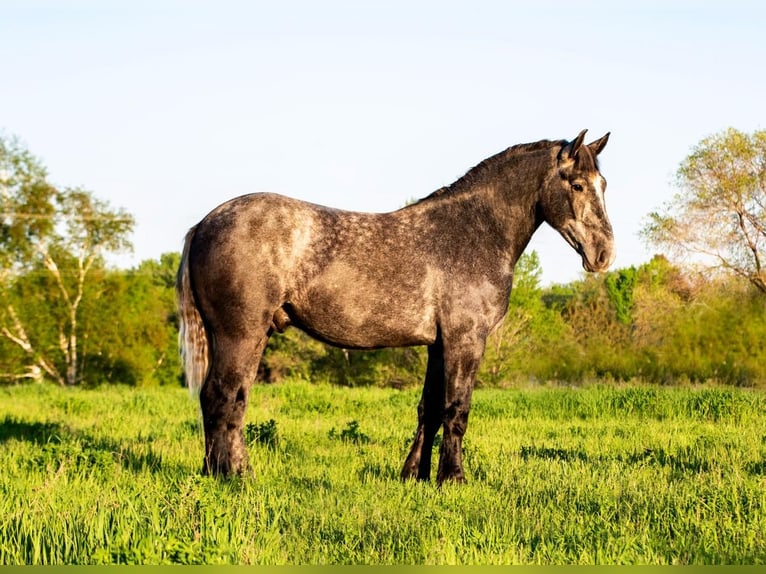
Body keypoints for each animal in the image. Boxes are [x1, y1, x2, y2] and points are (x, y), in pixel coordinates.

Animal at [177, 128, 616, 484]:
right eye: (578, 185)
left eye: (604, 183)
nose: (603, 254)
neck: (473, 231)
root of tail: (204, 224)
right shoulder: (466, 339)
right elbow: (457, 409)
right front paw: (453, 479)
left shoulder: (438, 344)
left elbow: (431, 409)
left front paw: (414, 476)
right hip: (240, 335)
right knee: (223, 397)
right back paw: (230, 477)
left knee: (227, 400)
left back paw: (224, 472)